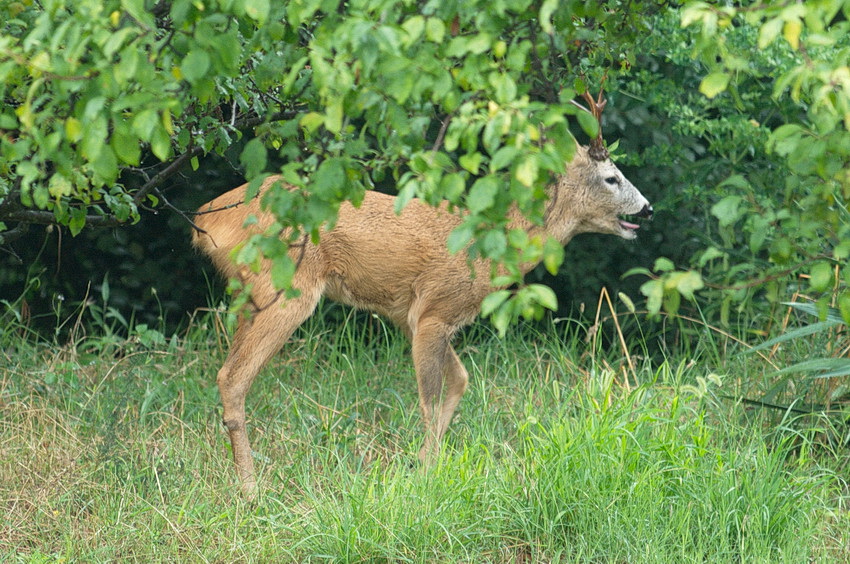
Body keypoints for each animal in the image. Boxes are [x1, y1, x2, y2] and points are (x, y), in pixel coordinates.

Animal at [195, 120, 652, 498]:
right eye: (611, 177)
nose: (647, 208)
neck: (489, 249)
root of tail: (205, 220)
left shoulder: (415, 319)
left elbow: (461, 380)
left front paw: (420, 464)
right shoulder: (434, 310)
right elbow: (429, 400)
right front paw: (426, 480)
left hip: (249, 294)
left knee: (228, 370)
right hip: (284, 286)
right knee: (233, 377)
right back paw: (251, 492)